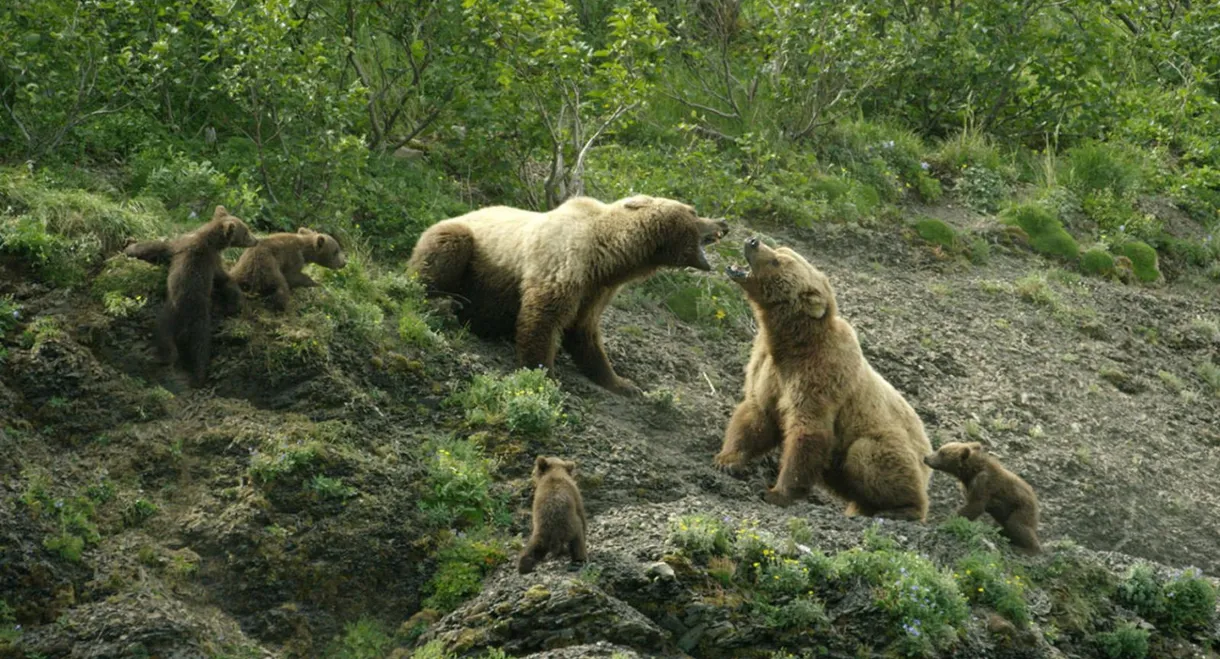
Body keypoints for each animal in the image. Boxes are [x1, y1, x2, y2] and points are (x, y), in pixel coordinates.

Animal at [148, 206, 258, 386]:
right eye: (247, 231)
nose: (257, 240)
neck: (208, 239)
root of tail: (185, 327)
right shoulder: (209, 258)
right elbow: (223, 278)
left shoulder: (187, 247)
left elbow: (159, 247)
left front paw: (130, 247)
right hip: (198, 324)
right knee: (199, 349)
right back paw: (198, 374)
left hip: (176, 315)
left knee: (168, 336)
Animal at [407, 195, 729, 395]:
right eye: (693, 211)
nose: (724, 223)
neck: (608, 256)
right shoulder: (563, 261)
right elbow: (543, 317)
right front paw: (544, 375)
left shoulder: (596, 289)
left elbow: (585, 332)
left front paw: (623, 383)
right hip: (467, 247)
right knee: (443, 252)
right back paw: (445, 302)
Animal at [713, 236, 933, 521]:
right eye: (780, 249)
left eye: (778, 261)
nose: (753, 241)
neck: (791, 342)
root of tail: (927, 446)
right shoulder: (768, 368)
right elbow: (755, 415)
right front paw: (727, 460)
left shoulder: (820, 374)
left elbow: (808, 429)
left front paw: (776, 493)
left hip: (891, 448)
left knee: (867, 455)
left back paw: (901, 509)